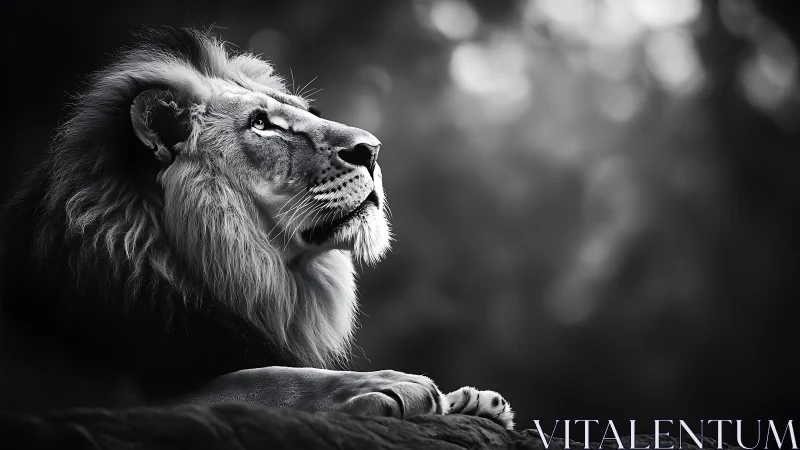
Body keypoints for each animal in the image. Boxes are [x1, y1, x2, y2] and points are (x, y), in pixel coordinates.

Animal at [0, 27, 514, 429]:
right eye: (262, 125)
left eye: (304, 113)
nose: (371, 149)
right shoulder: (105, 401)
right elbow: (257, 380)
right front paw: (389, 384)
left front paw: (473, 402)